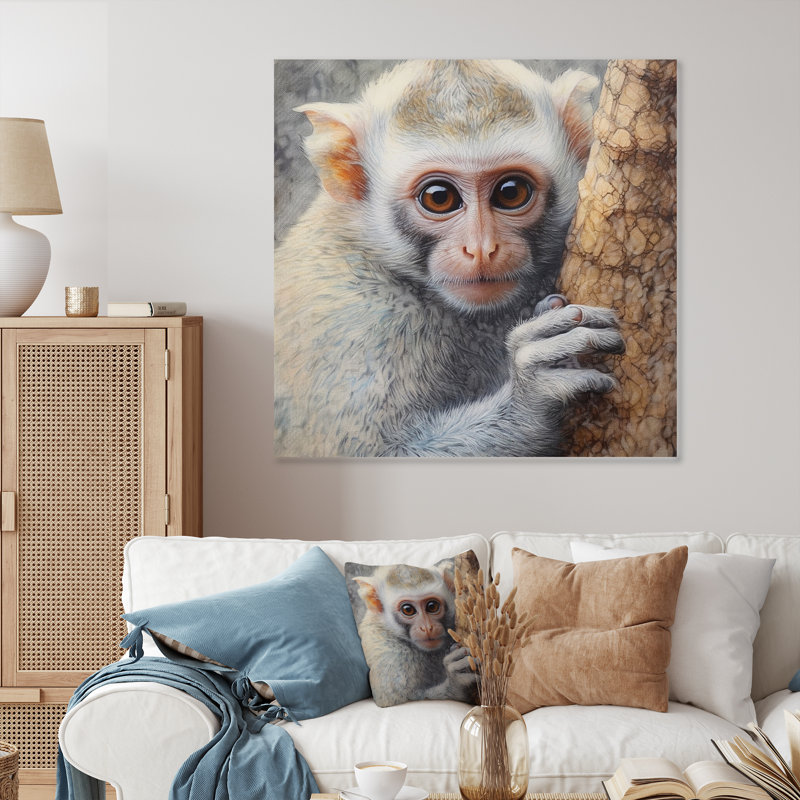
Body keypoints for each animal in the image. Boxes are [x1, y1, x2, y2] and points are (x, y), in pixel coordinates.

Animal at [274, 59, 625, 457]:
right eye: (439, 198)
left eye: (511, 192)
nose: (481, 248)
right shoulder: (356, 318)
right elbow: (371, 452)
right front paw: (533, 394)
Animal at [346, 555, 478, 707]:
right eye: (408, 610)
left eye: (432, 606)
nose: (426, 627)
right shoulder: (391, 656)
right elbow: (396, 697)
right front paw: (456, 681)